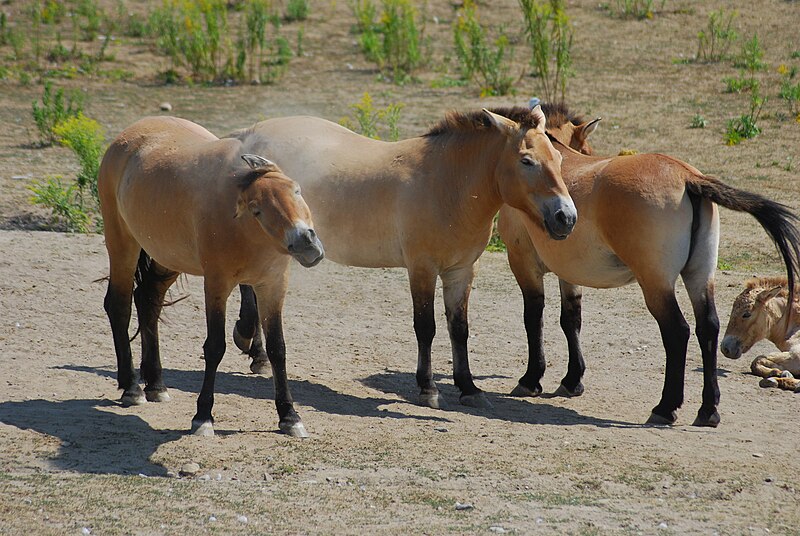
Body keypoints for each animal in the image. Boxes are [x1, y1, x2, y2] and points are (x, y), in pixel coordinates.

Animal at [98, 116, 324, 436]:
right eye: (257, 210)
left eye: (296, 190)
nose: (305, 243)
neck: (245, 231)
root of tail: (127, 137)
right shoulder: (216, 285)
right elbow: (215, 346)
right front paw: (203, 417)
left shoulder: (272, 286)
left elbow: (277, 348)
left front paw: (289, 416)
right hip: (122, 244)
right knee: (119, 305)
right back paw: (132, 388)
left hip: (168, 257)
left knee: (147, 300)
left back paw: (156, 385)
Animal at [227, 103, 576, 406]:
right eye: (527, 161)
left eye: (559, 157)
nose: (567, 218)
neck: (446, 184)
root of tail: (250, 134)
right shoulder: (422, 268)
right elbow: (426, 327)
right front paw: (428, 388)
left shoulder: (461, 271)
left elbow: (459, 329)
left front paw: (468, 388)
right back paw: (252, 346)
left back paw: (256, 352)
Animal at [500, 101, 800, 428]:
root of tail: (688, 178)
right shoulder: (568, 272)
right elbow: (571, 320)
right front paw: (572, 380)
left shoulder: (524, 263)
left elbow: (534, 317)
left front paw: (531, 379)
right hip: (699, 276)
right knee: (708, 328)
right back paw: (708, 411)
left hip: (656, 284)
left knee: (677, 331)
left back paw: (665, 407)